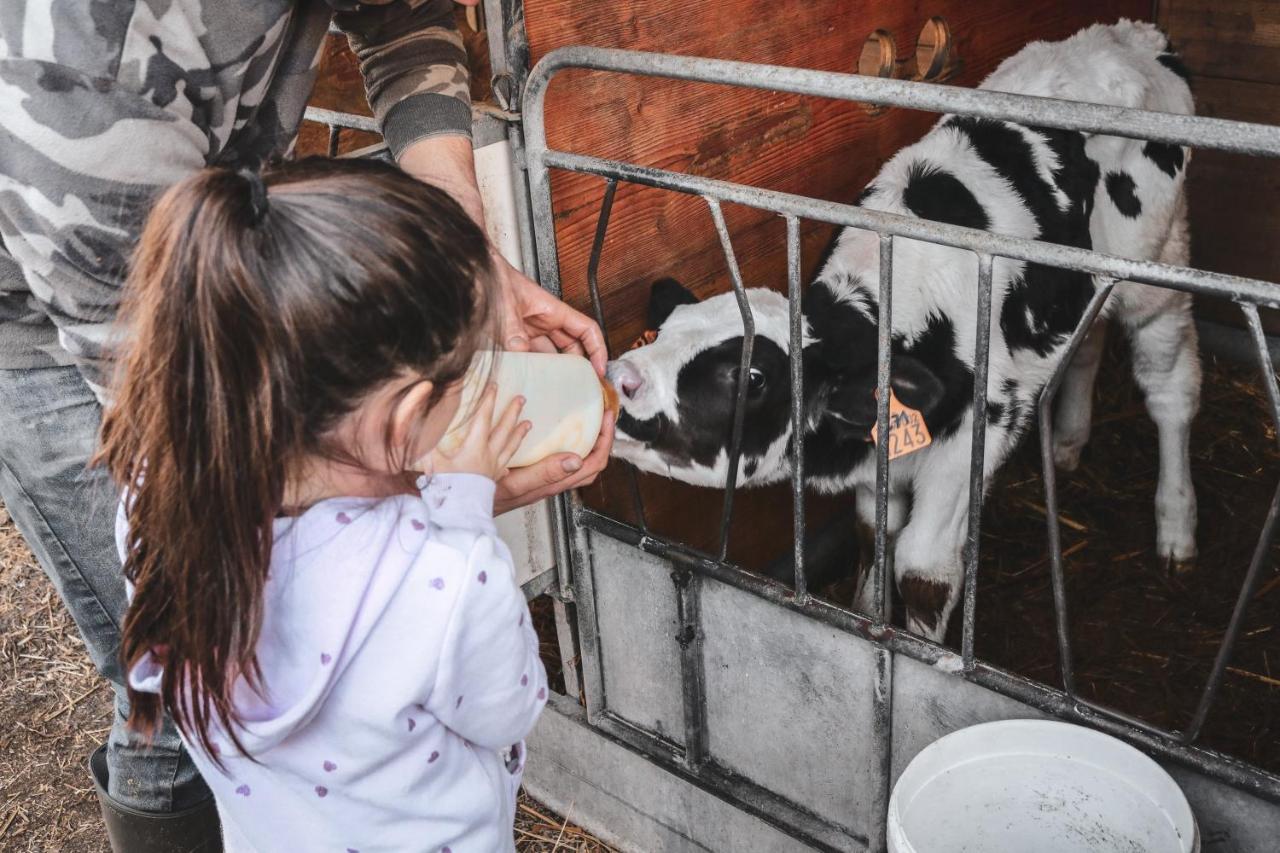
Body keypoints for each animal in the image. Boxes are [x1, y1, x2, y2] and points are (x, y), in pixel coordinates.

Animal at [604, 21, 1203, 637]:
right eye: (658, 334)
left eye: (752, 376)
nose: (619, 377)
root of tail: (1128, 36)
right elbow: (876, 531)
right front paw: (871, 619)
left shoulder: (980, 428)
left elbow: (922, 569)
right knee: (1087, 344)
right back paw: (1066, 442)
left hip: (1156, 270)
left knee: (1170, 388)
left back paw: (1176, 528)